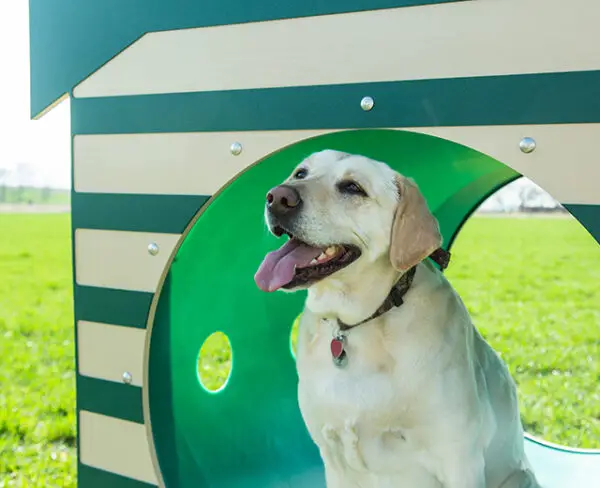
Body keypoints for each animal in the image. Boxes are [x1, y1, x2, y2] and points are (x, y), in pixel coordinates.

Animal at [255, 150, 540, 488]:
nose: (277, 197)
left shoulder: (459, 459)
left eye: (352, 187)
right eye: (300, 173)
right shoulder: (332, 457)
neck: (356, 322)